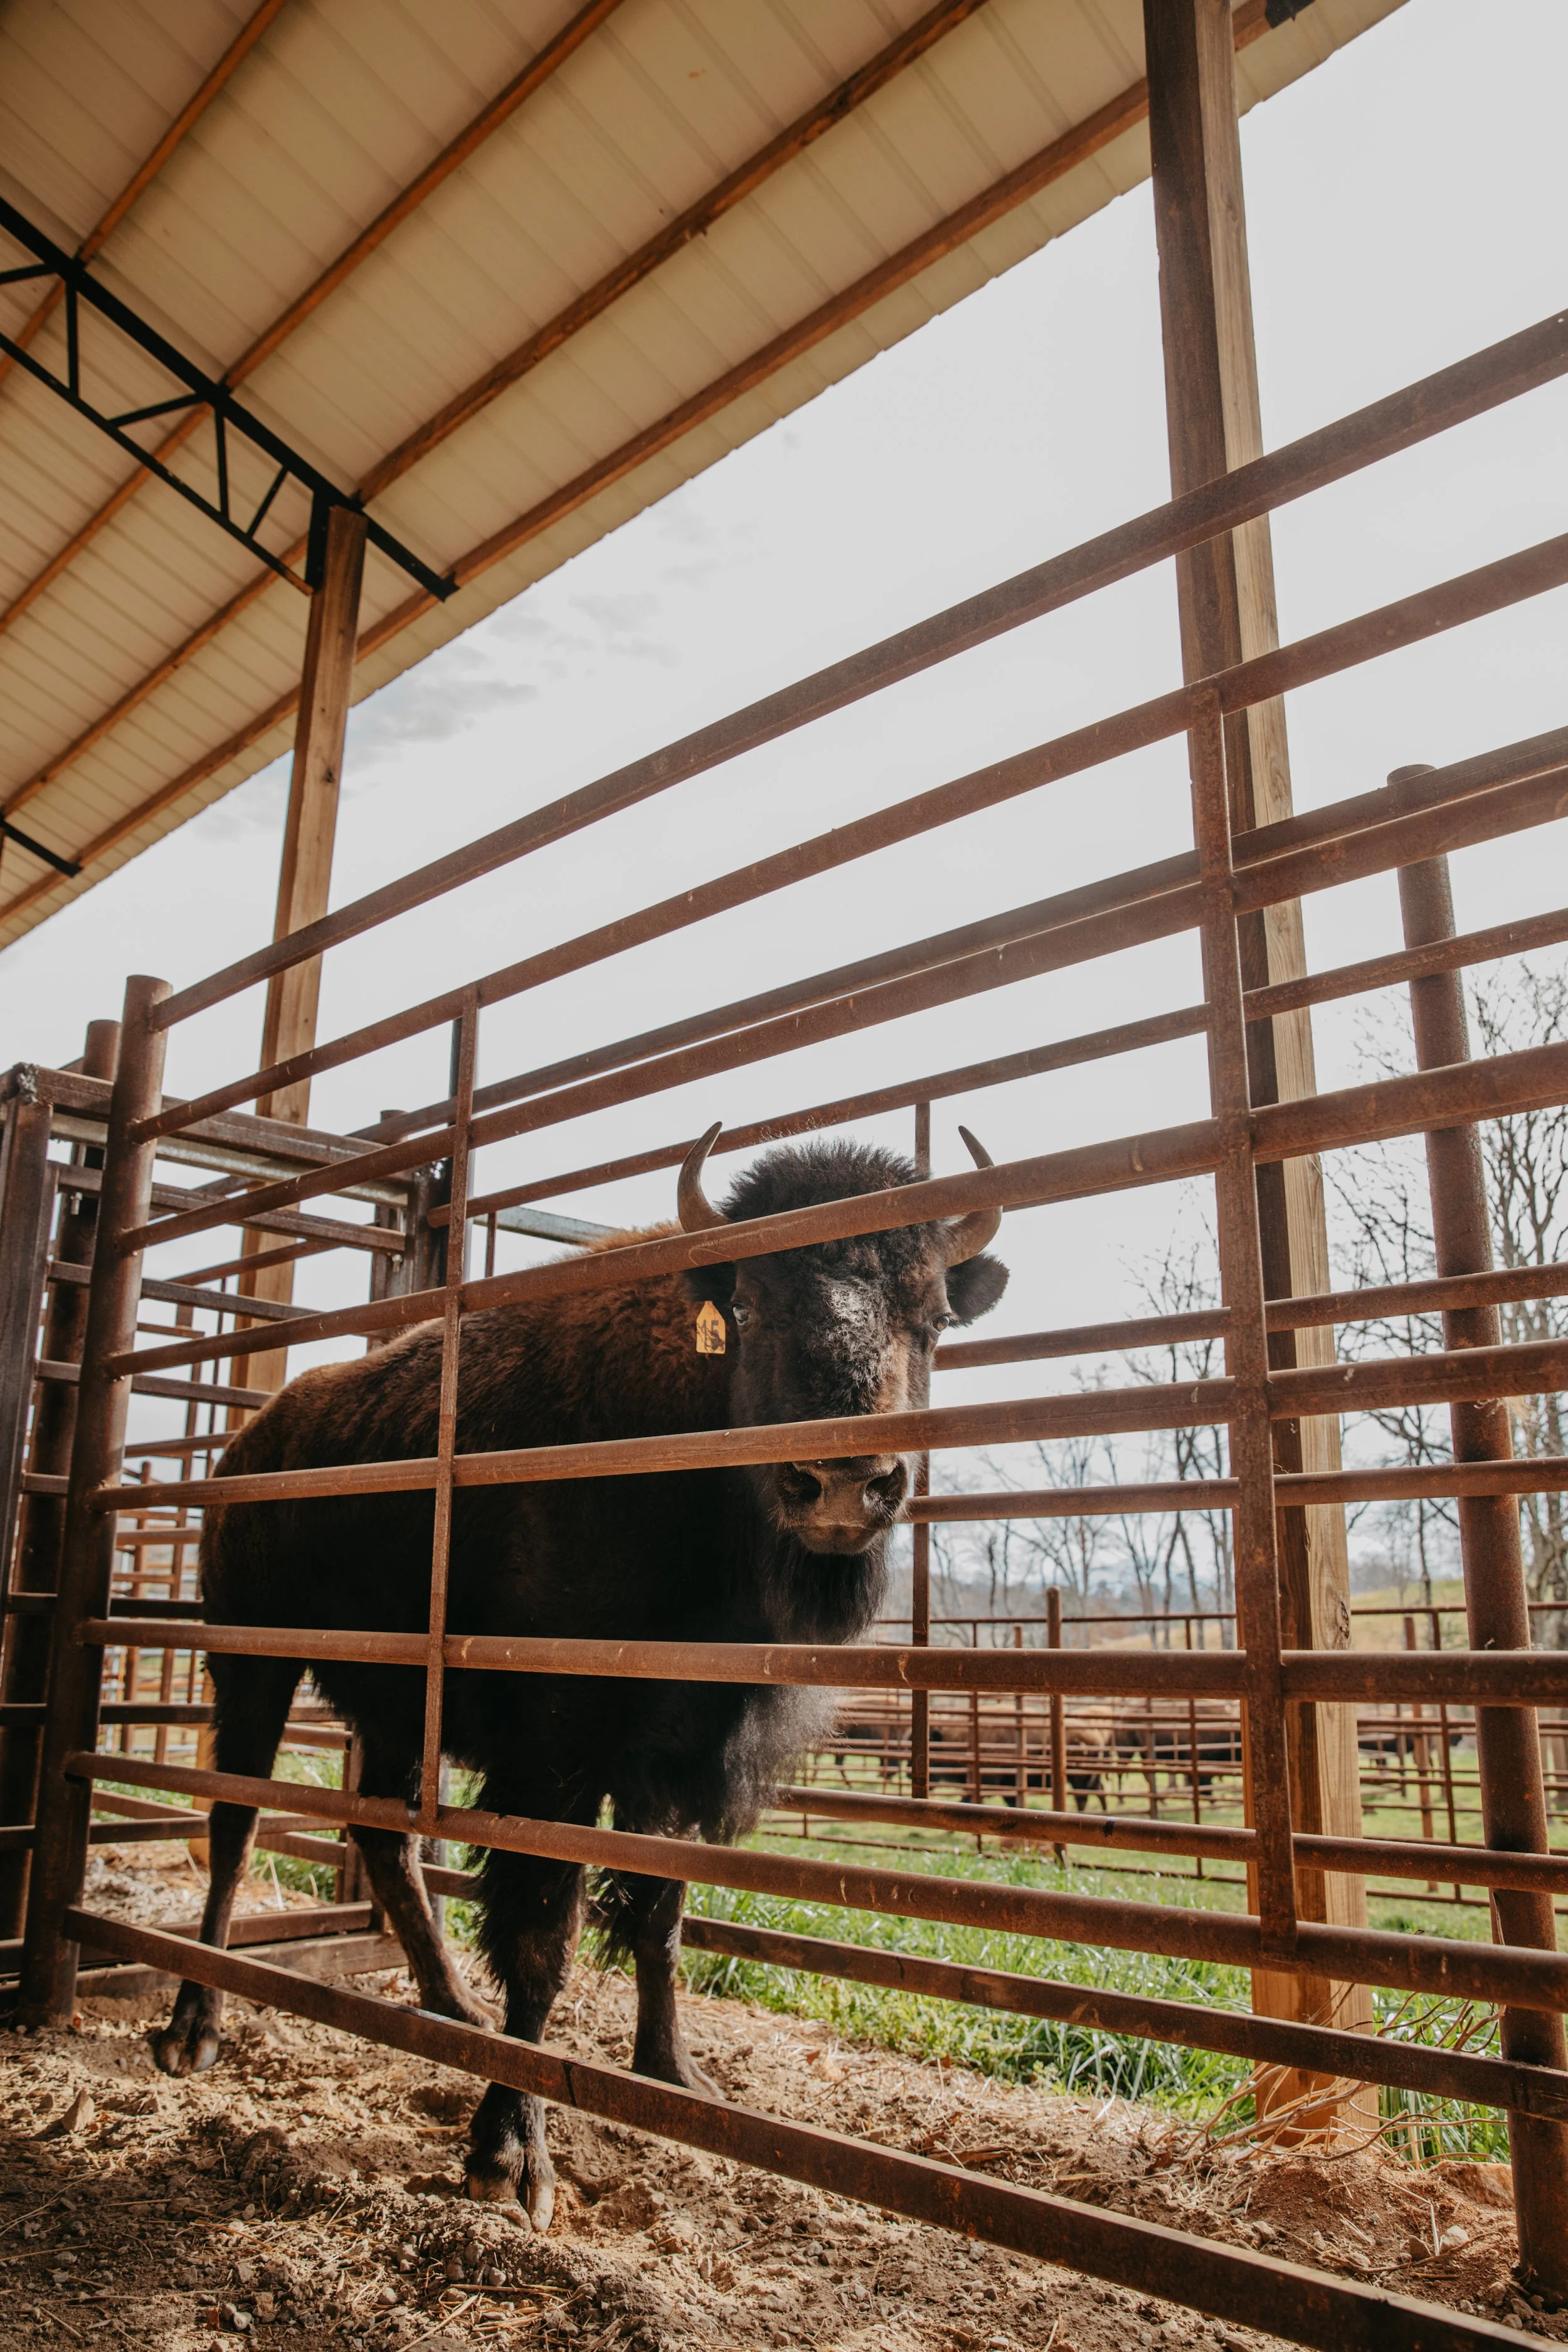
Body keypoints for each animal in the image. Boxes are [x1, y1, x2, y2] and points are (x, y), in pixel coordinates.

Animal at [151, 1129, 1007, 2225]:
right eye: (751, 1307)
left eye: (933, 1315)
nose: (842, 1486)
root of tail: (252, 1440)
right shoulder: (554, 1760)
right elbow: (545, 1938)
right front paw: (511, 2157)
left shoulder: (677, 1762)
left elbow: (660, 1919)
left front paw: (674, 2073)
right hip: (252, 1667)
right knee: (233, 1826)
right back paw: (194, 2025)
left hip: (393, 1709)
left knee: (386, 1838)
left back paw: (452, 2006)